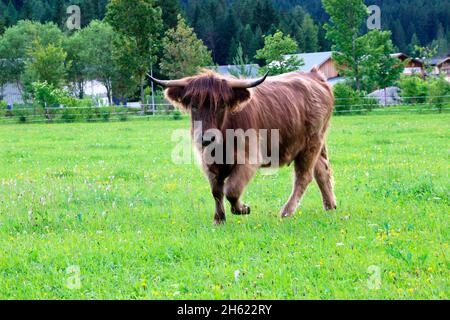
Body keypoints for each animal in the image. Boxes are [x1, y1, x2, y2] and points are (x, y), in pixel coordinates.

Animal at [149, 69, 336, 224]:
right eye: (194, 105)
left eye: (222, 105)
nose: (207, 138)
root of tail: (314, 76)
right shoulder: (208, 163)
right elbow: (216, 191)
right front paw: (219, 219)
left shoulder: (249, 159)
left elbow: (231, 189)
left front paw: (243, 209)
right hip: (315, 144)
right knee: (322, 170)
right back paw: (330, 206)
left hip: (311, 144)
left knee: (303, 176)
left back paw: (286, 212)